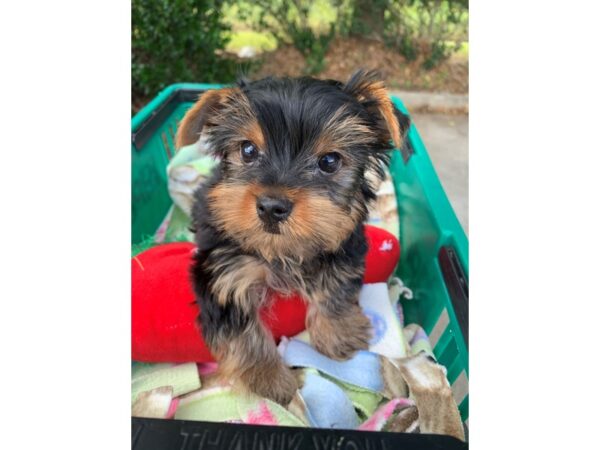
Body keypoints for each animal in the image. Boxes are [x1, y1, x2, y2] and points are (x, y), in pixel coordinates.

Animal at [176, 70, 410, 404]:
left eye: (329, 161)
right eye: (248, 150)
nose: (272, 207)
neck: (282, 250)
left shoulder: (344, 241)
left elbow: (336, 283)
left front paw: (338, 334)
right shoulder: (222, 271)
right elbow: (240, 325)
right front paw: (269, 380)